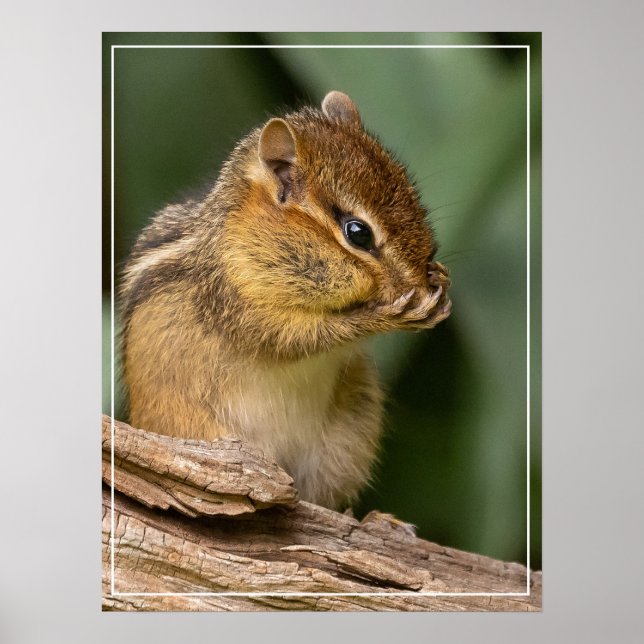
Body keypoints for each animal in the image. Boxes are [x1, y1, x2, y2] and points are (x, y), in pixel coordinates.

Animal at [119, 91, 451, 510]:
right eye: (357, 233)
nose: (420, 278)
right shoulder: (236, 302)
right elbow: (296, 338)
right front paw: (385, 315)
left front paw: (440, 279)